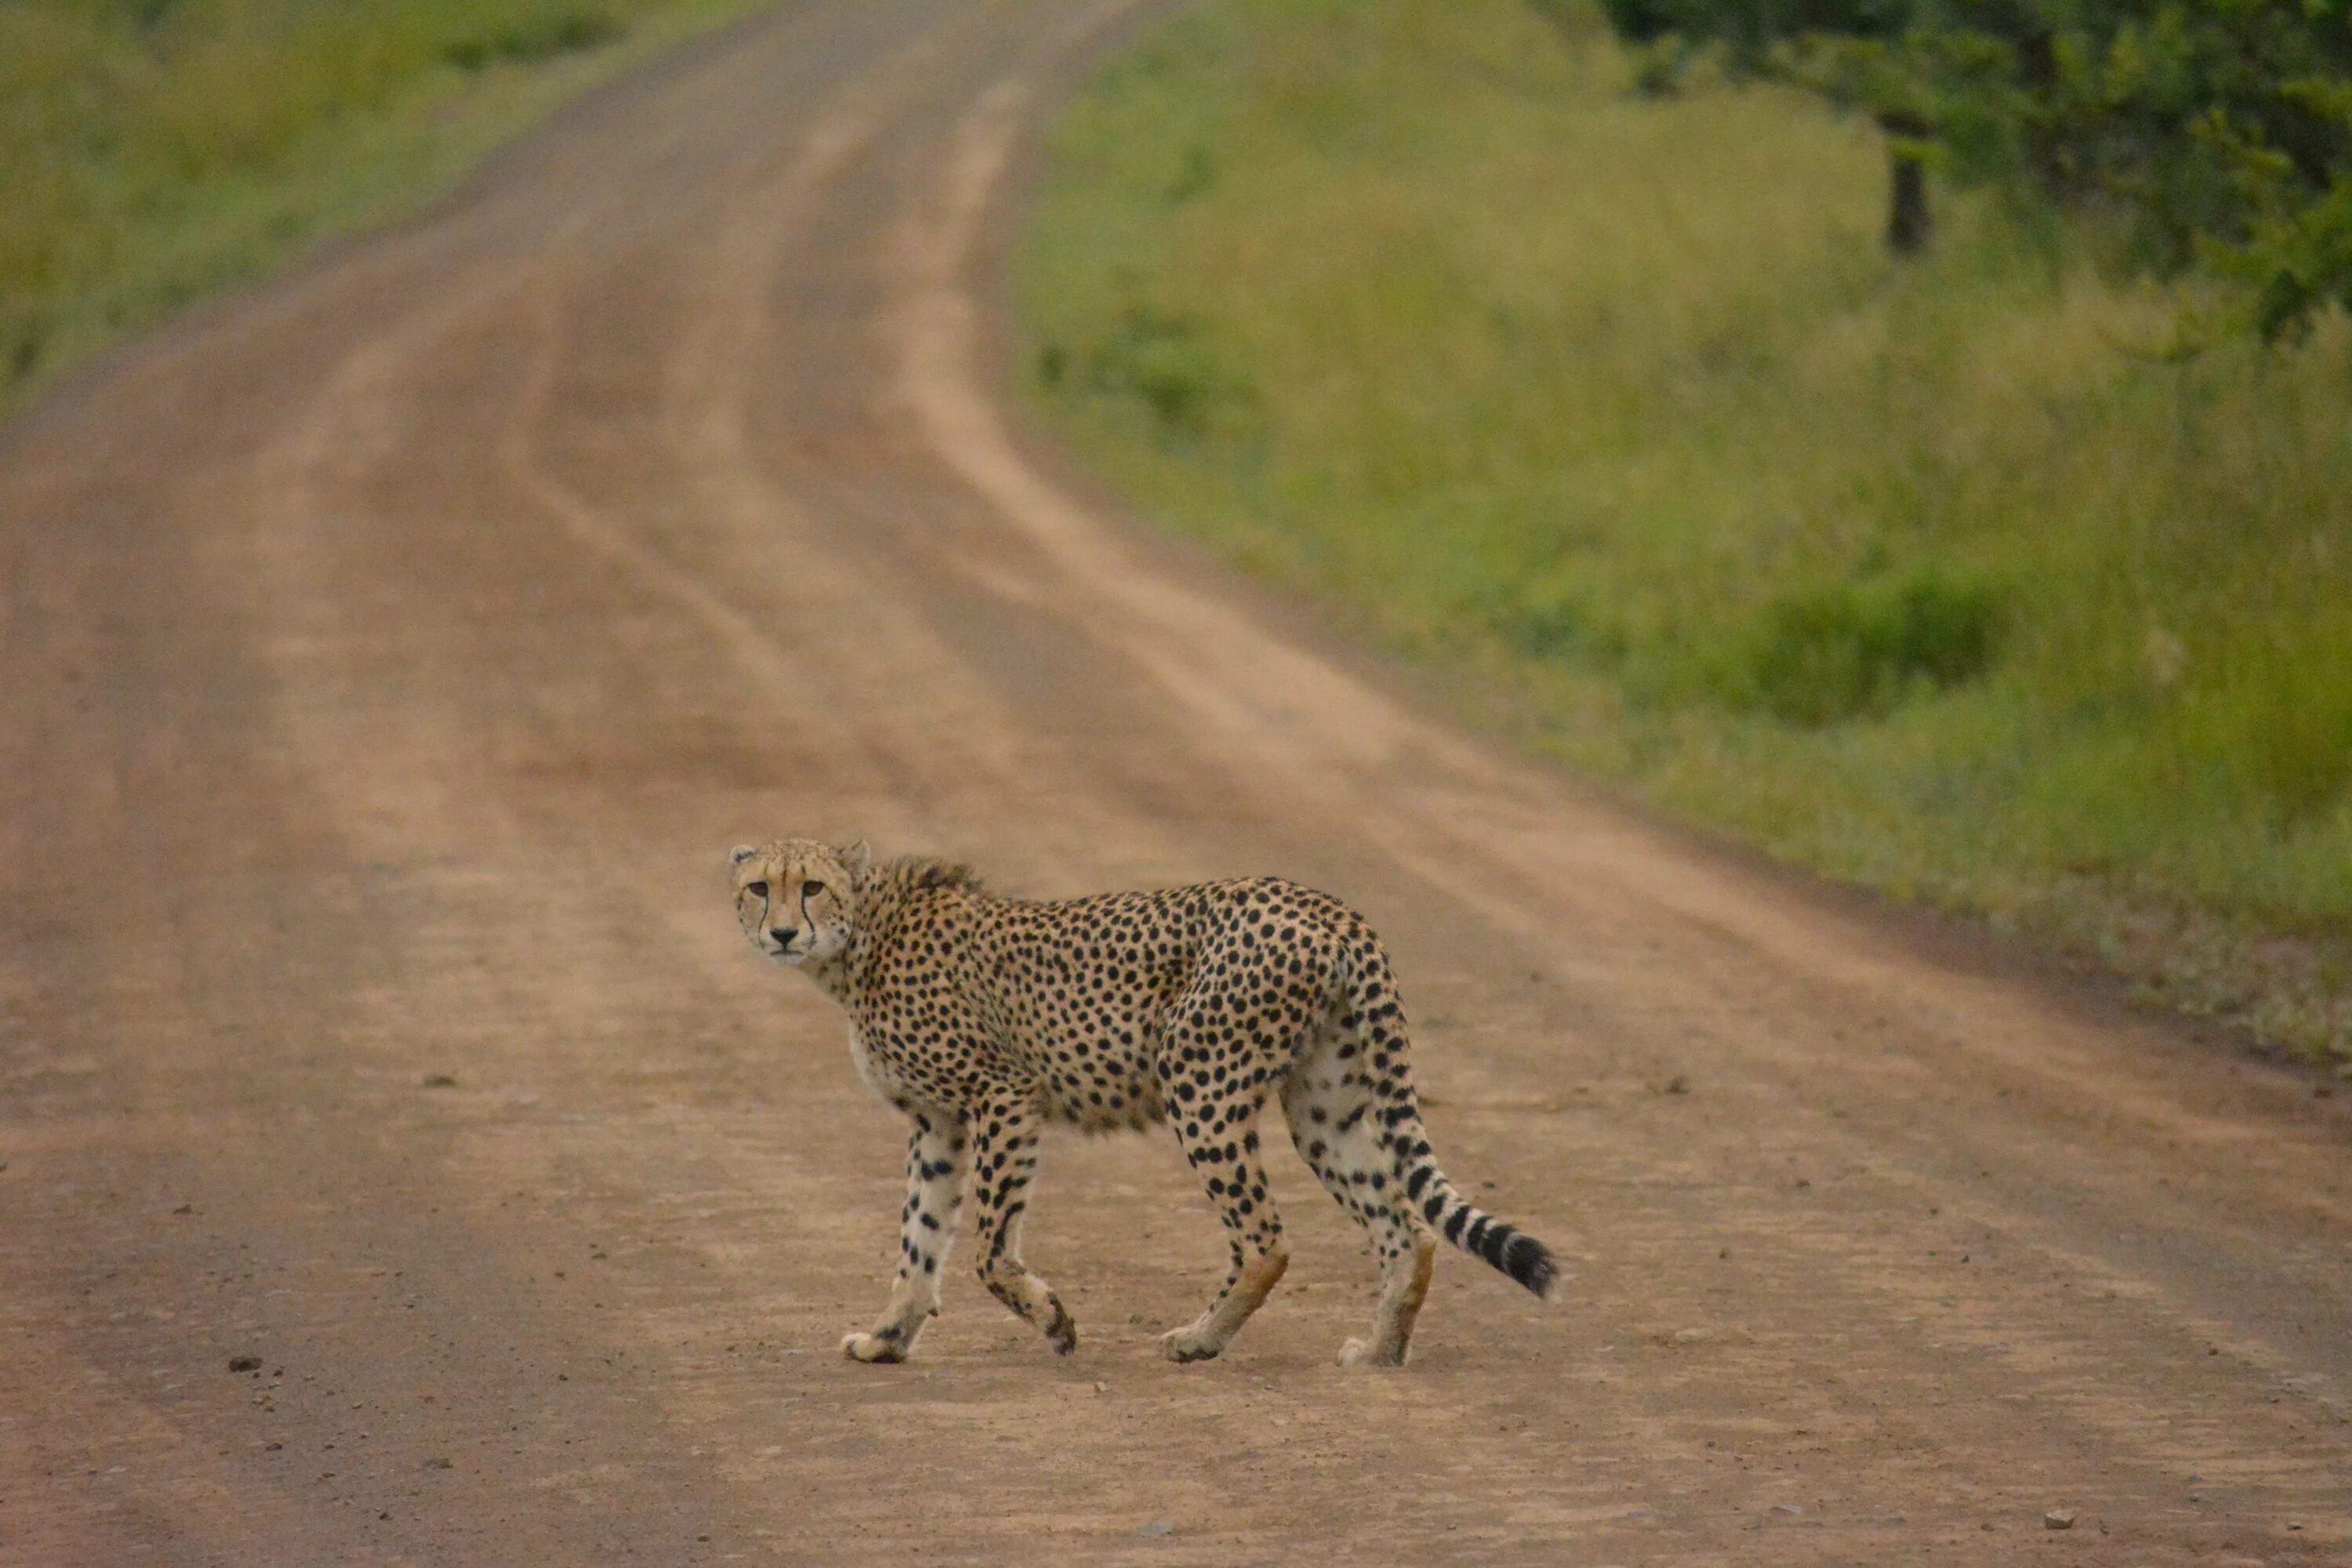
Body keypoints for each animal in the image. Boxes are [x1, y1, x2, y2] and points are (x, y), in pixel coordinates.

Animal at [720, 841, 1562, 1363]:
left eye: (812, 885)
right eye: (760, 887)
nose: (785, 932)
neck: (859, 941)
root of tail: (1327, 906)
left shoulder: (1002, 1095)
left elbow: (988, 1249)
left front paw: (1054, 1322)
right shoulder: (940, 1124)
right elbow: (919, 1240)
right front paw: (888, 1339)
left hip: (1201, 1077)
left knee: (1266, 1239)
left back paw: (1200, 1339)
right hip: (1326, 1104)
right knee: (1405, 1230)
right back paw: (1381, 1351)